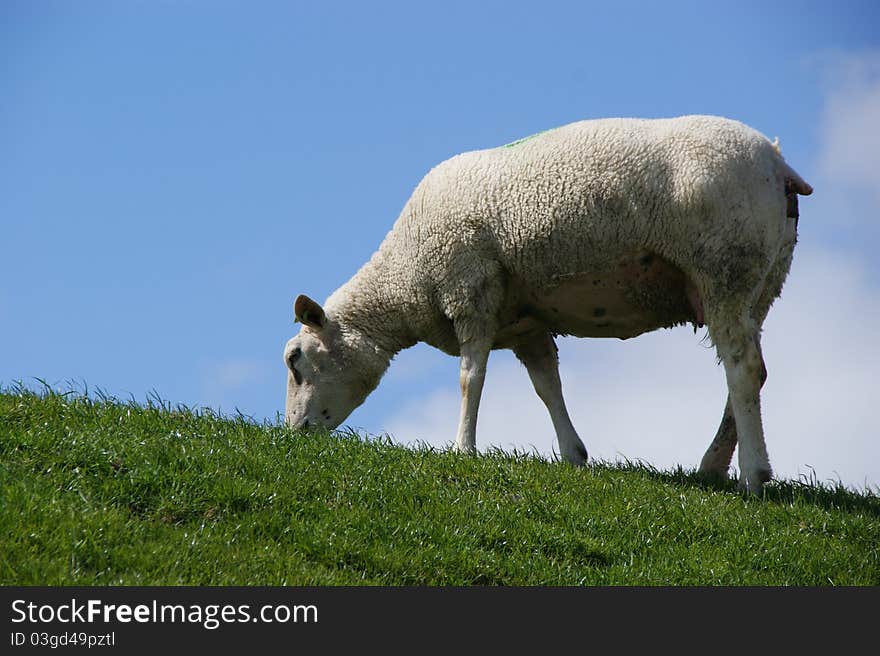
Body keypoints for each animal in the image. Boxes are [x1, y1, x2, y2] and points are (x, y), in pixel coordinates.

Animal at [282, 114, 812, 492]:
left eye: (295, 360)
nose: (294, 434)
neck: (403, 277)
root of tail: (779, 166)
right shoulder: (525, 325)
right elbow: (547, 386)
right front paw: (573, 455)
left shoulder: (470, 290)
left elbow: (470, 378)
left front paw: (462, 448)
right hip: (764, 279)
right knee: (750, 370)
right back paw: (712, 466)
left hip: (725, 266)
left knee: (743, 369)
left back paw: (754, 476)